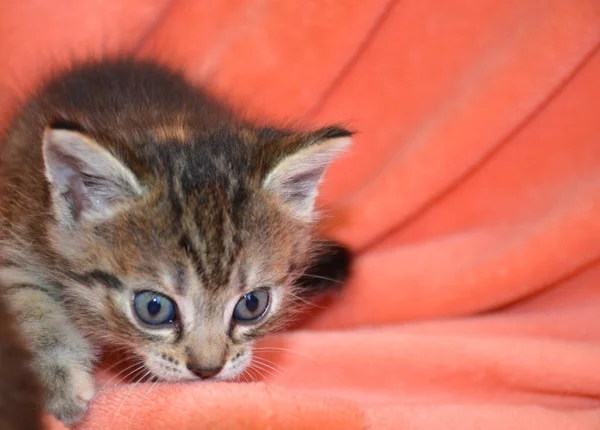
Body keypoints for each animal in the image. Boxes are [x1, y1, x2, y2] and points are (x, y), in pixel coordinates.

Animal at [0, 57, 352, 424]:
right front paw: (61, 385)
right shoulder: (18, 235)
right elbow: (29, 306)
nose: (208, 369)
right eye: (154, 308)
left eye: (252, 304)